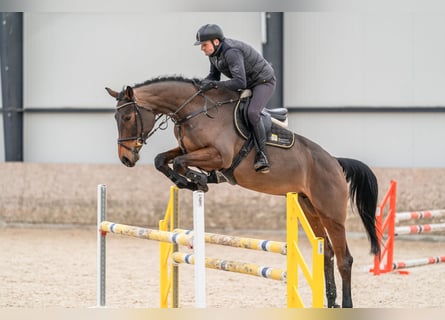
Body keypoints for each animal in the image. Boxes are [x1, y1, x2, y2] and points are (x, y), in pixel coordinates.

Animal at [105, 76, 378, 308]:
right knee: (327, 253)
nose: (126, 158)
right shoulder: (188, 149)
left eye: (127, 117)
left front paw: (197, 180)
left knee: (344, 259)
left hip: (332, 213)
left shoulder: (218, 155)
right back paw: (330, 303)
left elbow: (181, 162)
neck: (194, 110)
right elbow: (162, 160)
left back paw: (346, 304)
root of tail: (335, 162)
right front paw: (190, 181)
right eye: (117, 118)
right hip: (309, 208)